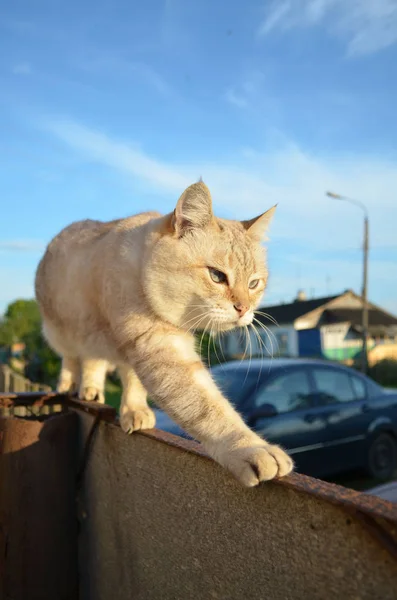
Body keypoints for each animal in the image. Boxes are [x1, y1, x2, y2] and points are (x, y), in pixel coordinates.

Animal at [35, 180, 292, 486]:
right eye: (217, 276)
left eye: (254, 284)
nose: (243, 309)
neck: (140, 268)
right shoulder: (158, 346)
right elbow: (209, 408)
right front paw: (255, 450)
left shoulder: (141, 347)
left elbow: (134, 382)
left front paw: (134, 411)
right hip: (59, 333)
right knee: (72, 359)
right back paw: (70, 385)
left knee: (94, 362)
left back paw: (92, 392)